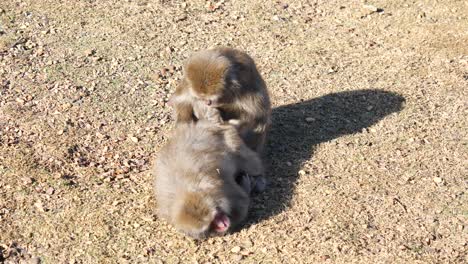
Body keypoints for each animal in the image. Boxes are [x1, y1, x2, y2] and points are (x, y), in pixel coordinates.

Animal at [154, 107, 264, 239]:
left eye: (215, 215)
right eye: (211, 223)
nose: (224, 224)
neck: (187, 192)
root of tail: (207, 124)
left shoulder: (225, 191)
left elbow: (242, 203)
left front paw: (246, 186)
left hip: (231, 139)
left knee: (249, 163)